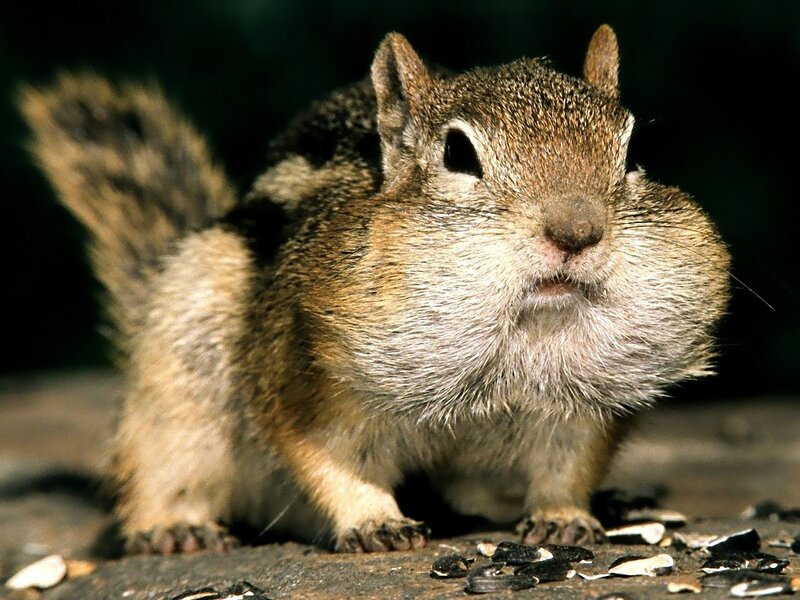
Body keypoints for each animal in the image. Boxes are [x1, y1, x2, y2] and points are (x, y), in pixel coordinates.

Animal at [19, 25, 730, 554]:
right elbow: (326, 455)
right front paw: (373, 520)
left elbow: (568, 463)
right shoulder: (304, 378)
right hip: (179, 372)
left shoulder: (581, 407)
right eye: (459, 155)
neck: (521, 331)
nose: (576, 231)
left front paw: (565, 515)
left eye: (632, 153)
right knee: (161, 464)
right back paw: (173, 527)